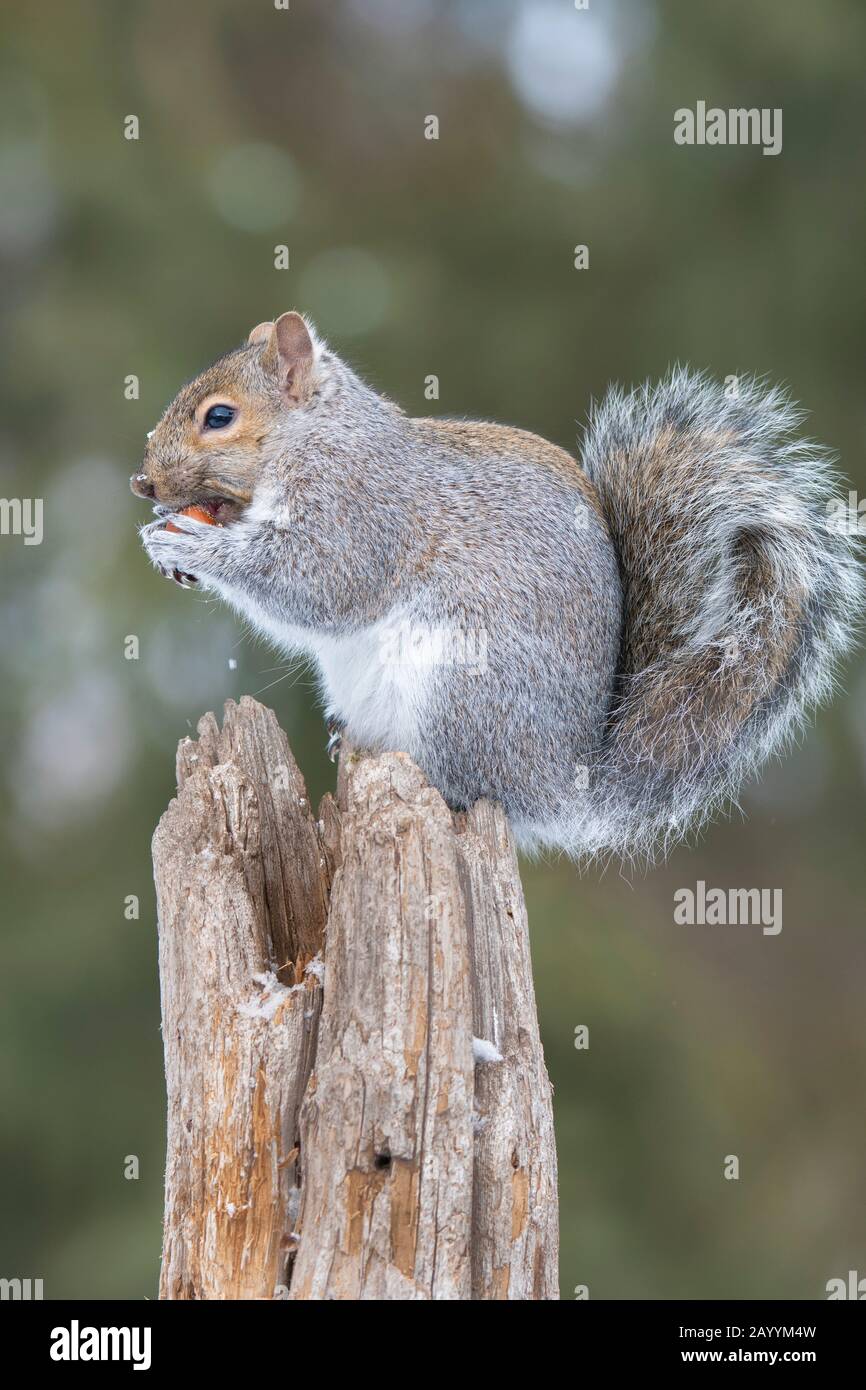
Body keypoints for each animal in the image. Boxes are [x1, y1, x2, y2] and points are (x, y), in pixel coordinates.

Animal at [133, 312, 861, 861]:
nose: (144, 484)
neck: (314, 436)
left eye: (219, 417)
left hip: (462, 693)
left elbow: (320, 587)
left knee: (473, 787)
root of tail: (565, 787)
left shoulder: (362, 513)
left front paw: (192, 544)